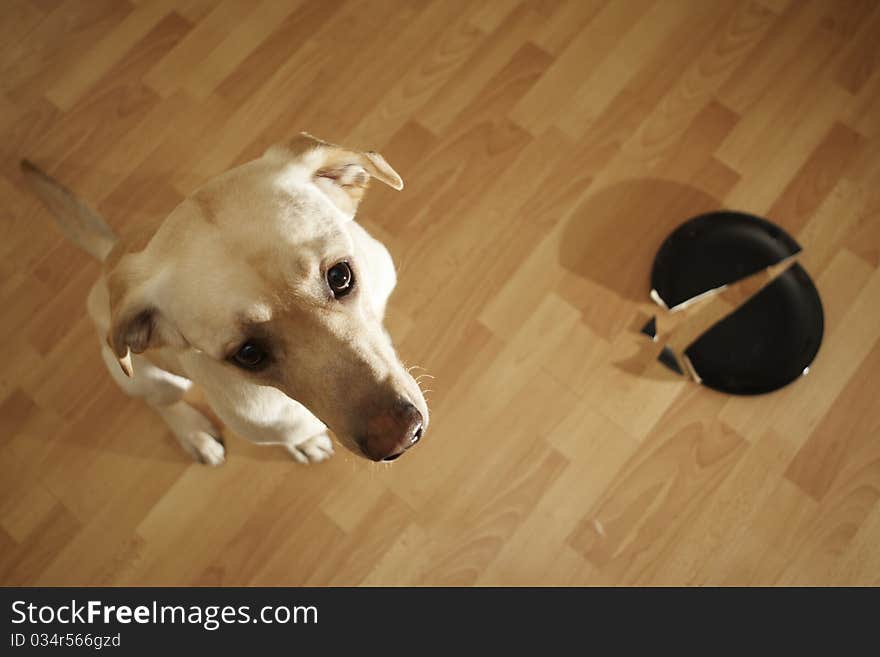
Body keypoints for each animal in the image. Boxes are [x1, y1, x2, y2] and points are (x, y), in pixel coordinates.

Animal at [22, 132, 428, 466]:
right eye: (247, 354)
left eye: (340, 277)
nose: (399, 438)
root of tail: (110, 260)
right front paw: (305, 442)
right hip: (149, 379)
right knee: (160, 403)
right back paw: (196, 435)